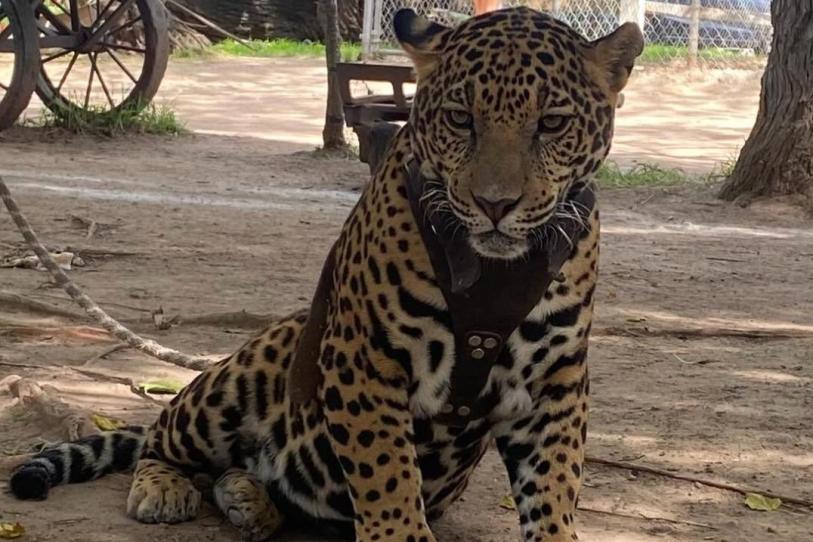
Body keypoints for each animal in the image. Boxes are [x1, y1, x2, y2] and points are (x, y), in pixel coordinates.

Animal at [10, 7, 643, 542]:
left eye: (552, 123)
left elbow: (555, 483)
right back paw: (166, 489)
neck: (492, 274)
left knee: (241, 478)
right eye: (461, 119)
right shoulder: (365, 357)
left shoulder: (557, 376)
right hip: (249, 370)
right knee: (162, 435)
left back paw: (247, 498)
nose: (495, 204)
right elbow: (388, 476)